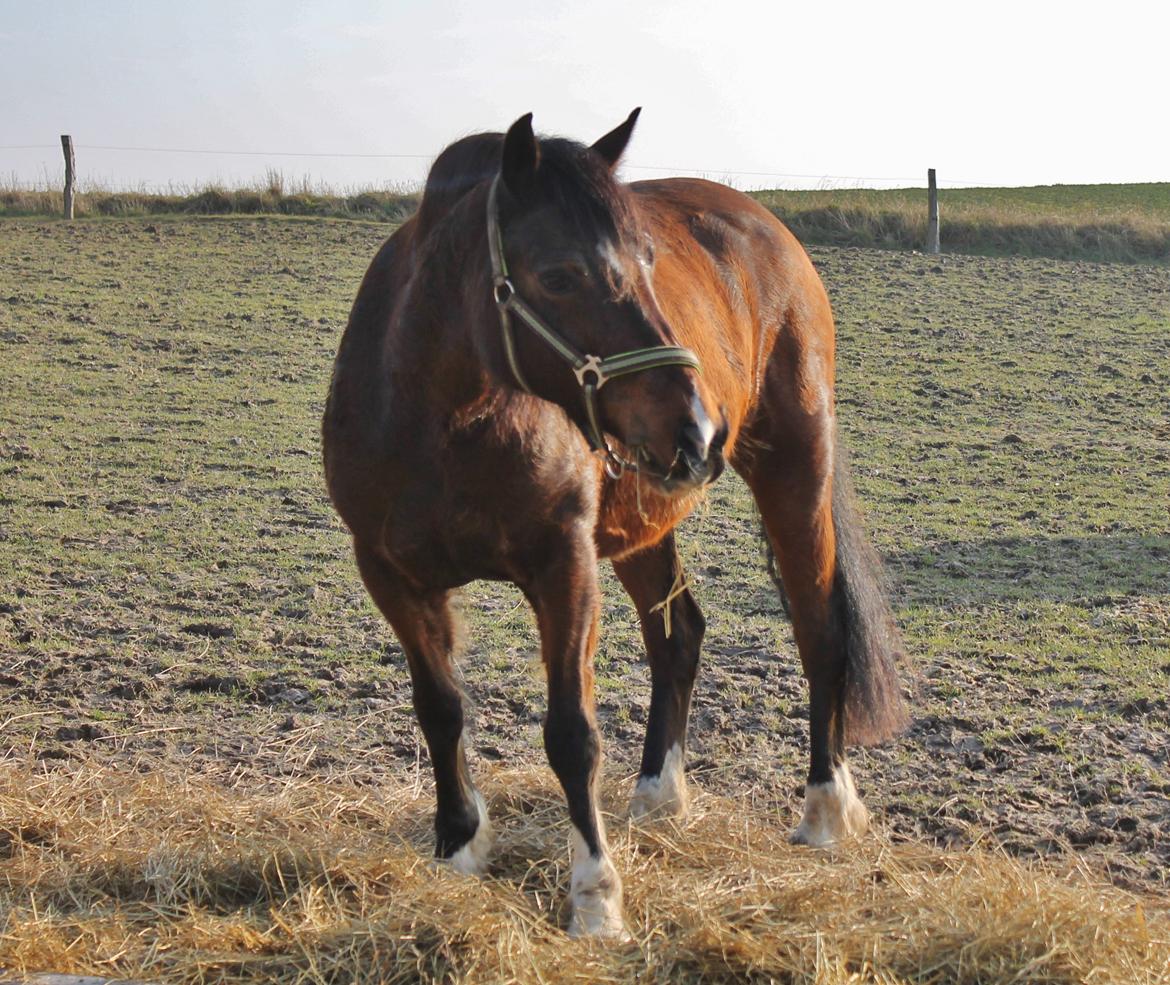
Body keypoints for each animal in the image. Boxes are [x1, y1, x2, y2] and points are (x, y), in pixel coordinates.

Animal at [322, 109, 908, 938]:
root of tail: (766, 225)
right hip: (644, 521)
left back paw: (824, 809)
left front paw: (595, 896)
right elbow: (439, 707)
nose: (700, 428)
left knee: (820, 630)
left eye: (648, 262)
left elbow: (572, 733)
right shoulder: (390, 573)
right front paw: (458, 844)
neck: (443, 419)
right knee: (679, 635)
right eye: (560, 275)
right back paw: (659, 795)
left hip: (795, 469)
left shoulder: (563, 565)